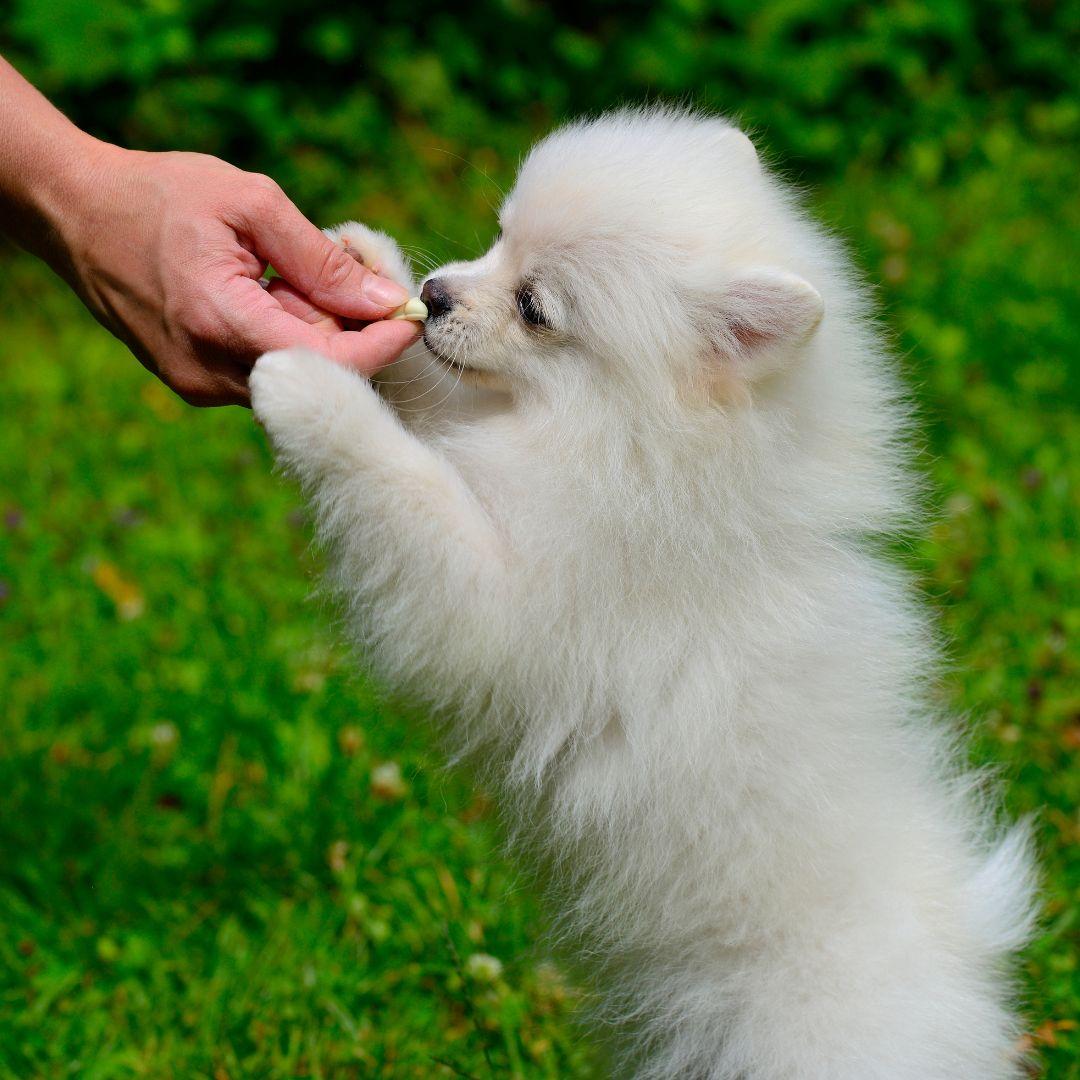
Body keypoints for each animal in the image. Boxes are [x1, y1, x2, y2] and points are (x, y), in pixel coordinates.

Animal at [250, 109, 1036, 1080]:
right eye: (499, 236)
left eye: (535, 308)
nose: (434, 294)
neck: (632, 444)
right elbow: (432, 400)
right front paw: (368, 267)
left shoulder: (502, 600)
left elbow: (404, 483)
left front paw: (306, 387)